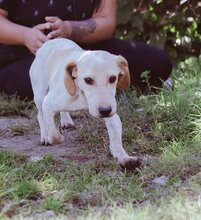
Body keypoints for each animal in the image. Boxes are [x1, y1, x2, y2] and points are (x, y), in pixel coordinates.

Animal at [29, 38, 141, 169]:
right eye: (88, 80)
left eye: (113, 78)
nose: (105, 111)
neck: (83, 96)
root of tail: (48, 42)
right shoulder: (48, 103)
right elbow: (53, 134)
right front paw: (55, 137)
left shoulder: (112, 114)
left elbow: (115, 138)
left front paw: (124, 157)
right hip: (40, 95)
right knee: (40, 115)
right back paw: (45, 135)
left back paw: (66, 120)